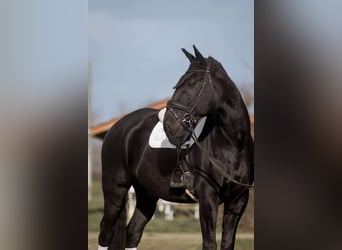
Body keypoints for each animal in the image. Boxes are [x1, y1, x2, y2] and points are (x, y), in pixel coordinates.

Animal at [97, 46, 252, 249]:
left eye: (193, 84)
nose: (169, 125)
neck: (232, 143)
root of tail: (118, 128)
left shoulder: (238, 200)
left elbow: (227, 243)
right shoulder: (208, 199)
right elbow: (210, 243)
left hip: (147, 194)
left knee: (133, 232)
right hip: (115, 189)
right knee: (105, 232)